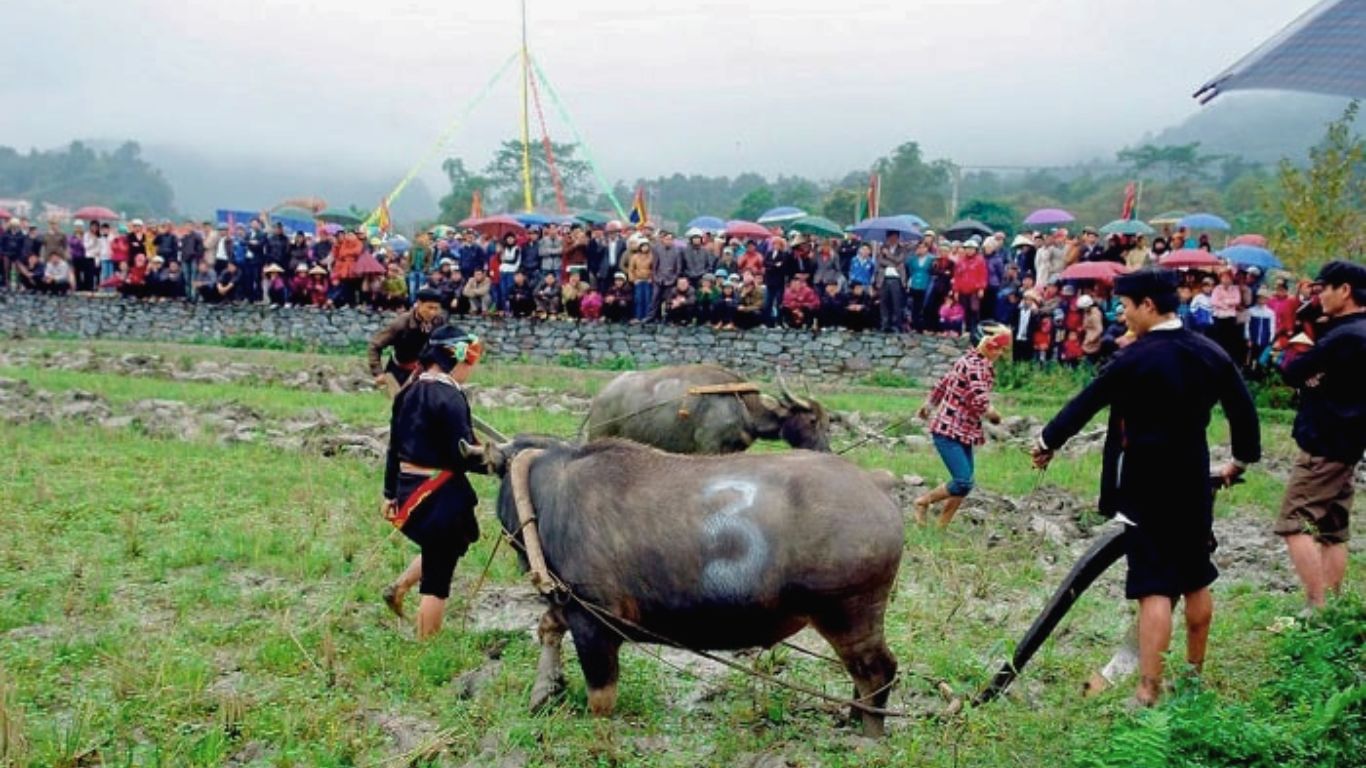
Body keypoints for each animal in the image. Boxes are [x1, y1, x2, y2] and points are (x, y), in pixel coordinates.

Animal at [464, 434, 901, 732]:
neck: (546, 497)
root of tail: (877, 484)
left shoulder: (594, 621)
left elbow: (601, 697)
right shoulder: (566, 604)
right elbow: (547, 628)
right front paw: (543, 691)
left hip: (849, 613)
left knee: (877, 671)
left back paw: (866, 733)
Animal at [581, 360, 825, 450]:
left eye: (828, 422)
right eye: (812, 420)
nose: (825, 451)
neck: (742, 405)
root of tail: (598, 398)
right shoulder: (709, 447)